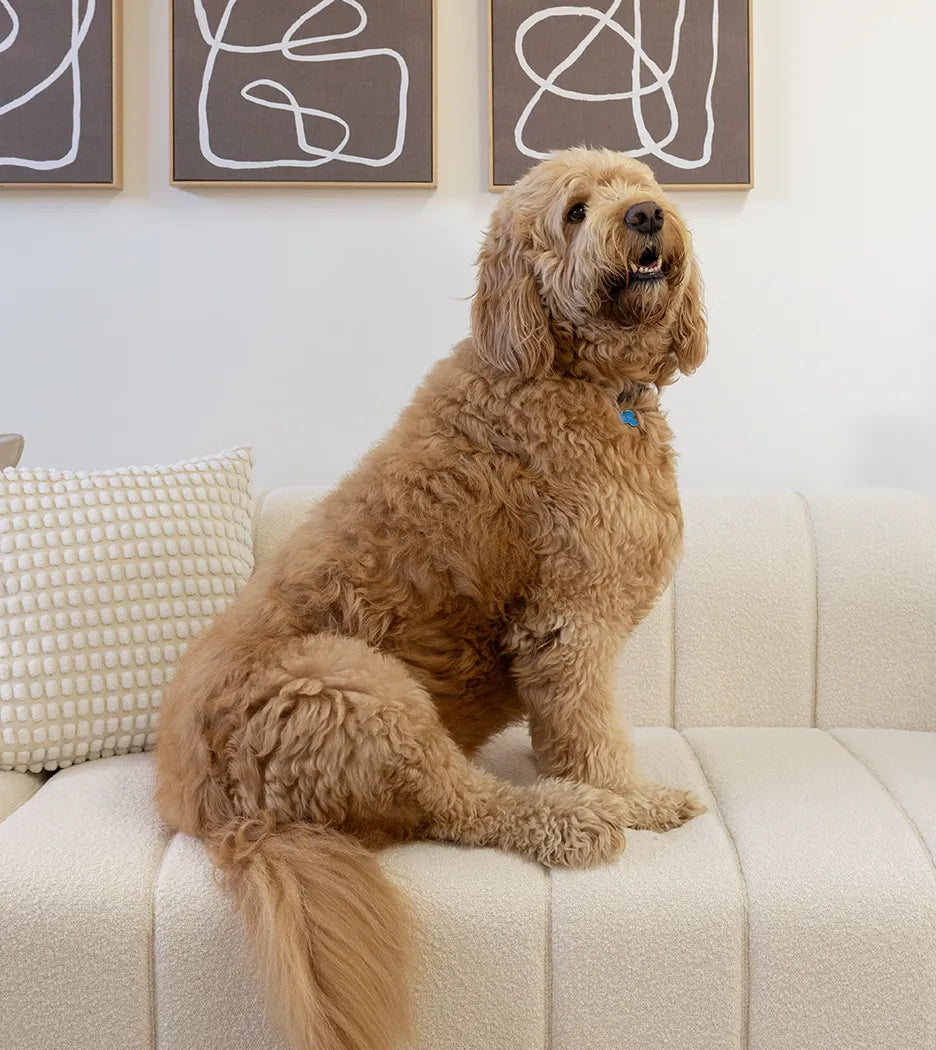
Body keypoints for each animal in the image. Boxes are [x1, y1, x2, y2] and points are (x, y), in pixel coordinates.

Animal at [156, 147, 708, 1050]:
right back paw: (580, 820)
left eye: (643, 185)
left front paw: (632, 793)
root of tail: (220, 818)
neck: (569, 376)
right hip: (356, 684)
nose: (646, 218)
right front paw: (633, 799)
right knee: (467, 807)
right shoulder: (568, 624)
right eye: (575, 212)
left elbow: (571, 733)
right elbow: (593, 738)